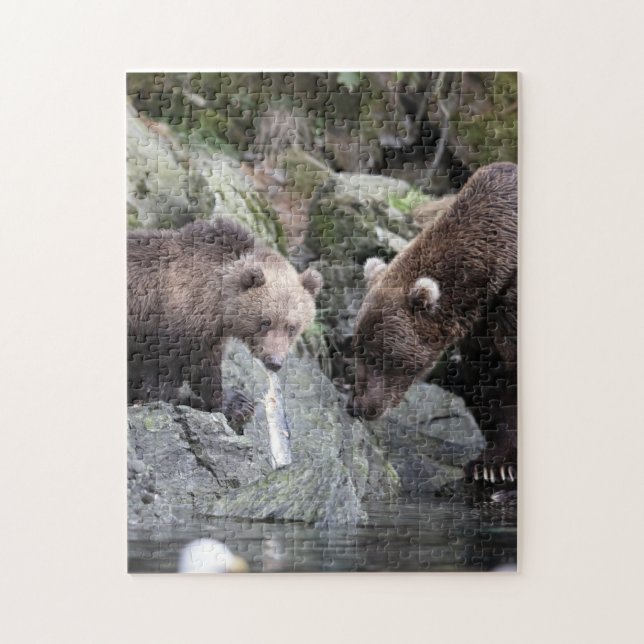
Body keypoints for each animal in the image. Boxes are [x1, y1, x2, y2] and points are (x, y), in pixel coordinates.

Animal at [347, 162, 517, 484]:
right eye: (359, 351)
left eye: (383, 358)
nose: (361, 406)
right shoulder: (483, 325)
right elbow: (491, 380)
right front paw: (490, 462)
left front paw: (499, 466)